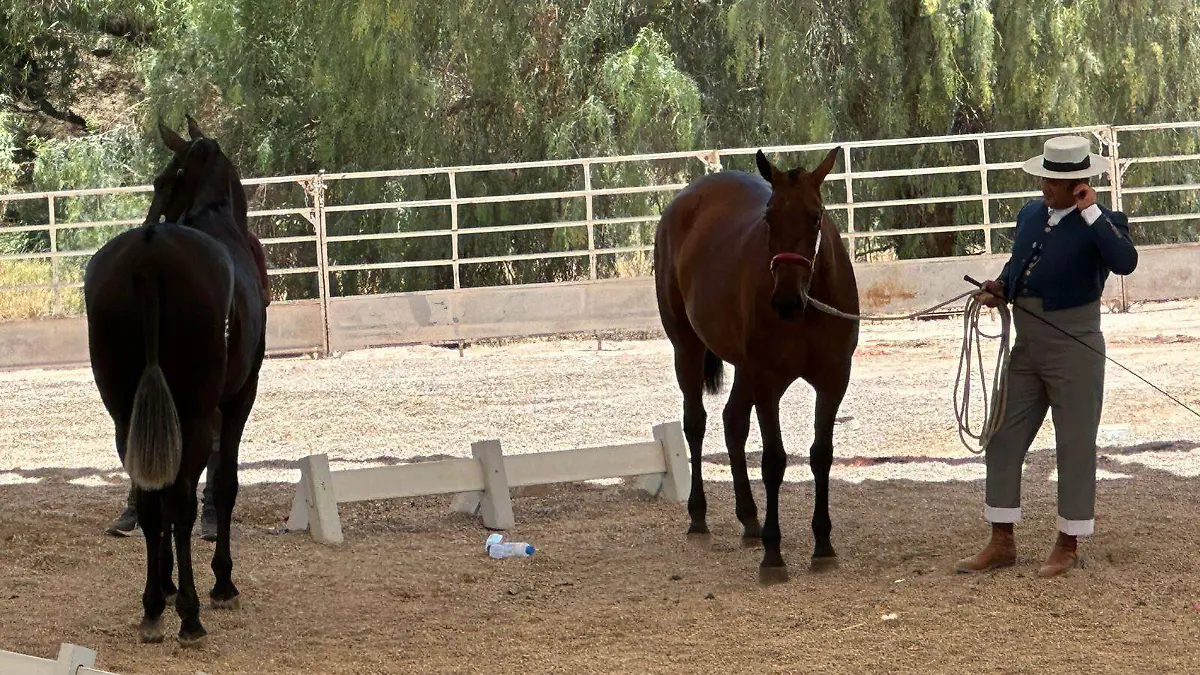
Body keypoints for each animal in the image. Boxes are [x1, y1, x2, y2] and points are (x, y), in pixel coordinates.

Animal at [83, 115, 267, 645]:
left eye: (165, 180)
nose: (155, 211)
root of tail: (149, 256)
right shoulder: (237, 400)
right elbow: (224, 486)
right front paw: (222, 582)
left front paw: (163, 584)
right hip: (197, 410)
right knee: (182, 499)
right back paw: (190, 614)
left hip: (126, 412)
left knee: (152, 500)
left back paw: (153, 604)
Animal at [653, 147, 859, 583]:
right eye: (769, 217)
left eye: (815, 217)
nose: (784, 300)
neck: (807, 309)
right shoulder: (767, 382)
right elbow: (774, 461)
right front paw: (773, 553)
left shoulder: (833, 381)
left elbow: (821, 454)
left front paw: (823, 544)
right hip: (687, 348)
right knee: (695, 423)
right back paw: (699, 517)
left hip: (743, 368)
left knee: (733, 422)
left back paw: (749, 518)